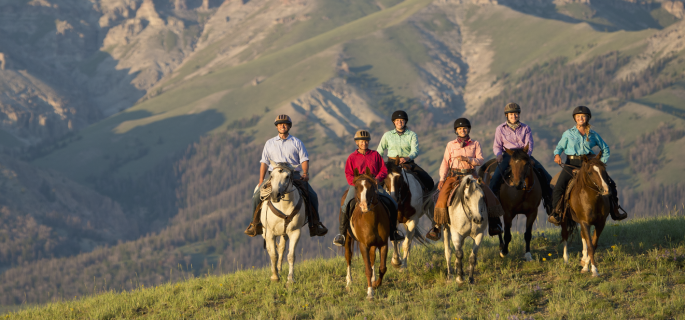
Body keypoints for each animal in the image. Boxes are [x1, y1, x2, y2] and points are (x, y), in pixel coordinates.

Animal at [342, 168, 390, 300]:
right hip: (347, 238)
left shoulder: (384, 244)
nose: (364, 205)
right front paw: (370, 293)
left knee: (373, 257)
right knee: (348, 256)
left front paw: (376, 285)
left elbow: (382, 268)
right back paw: (349, 281)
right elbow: (368, 269)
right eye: (356, 187)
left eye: (371, 186)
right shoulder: (363, 246)